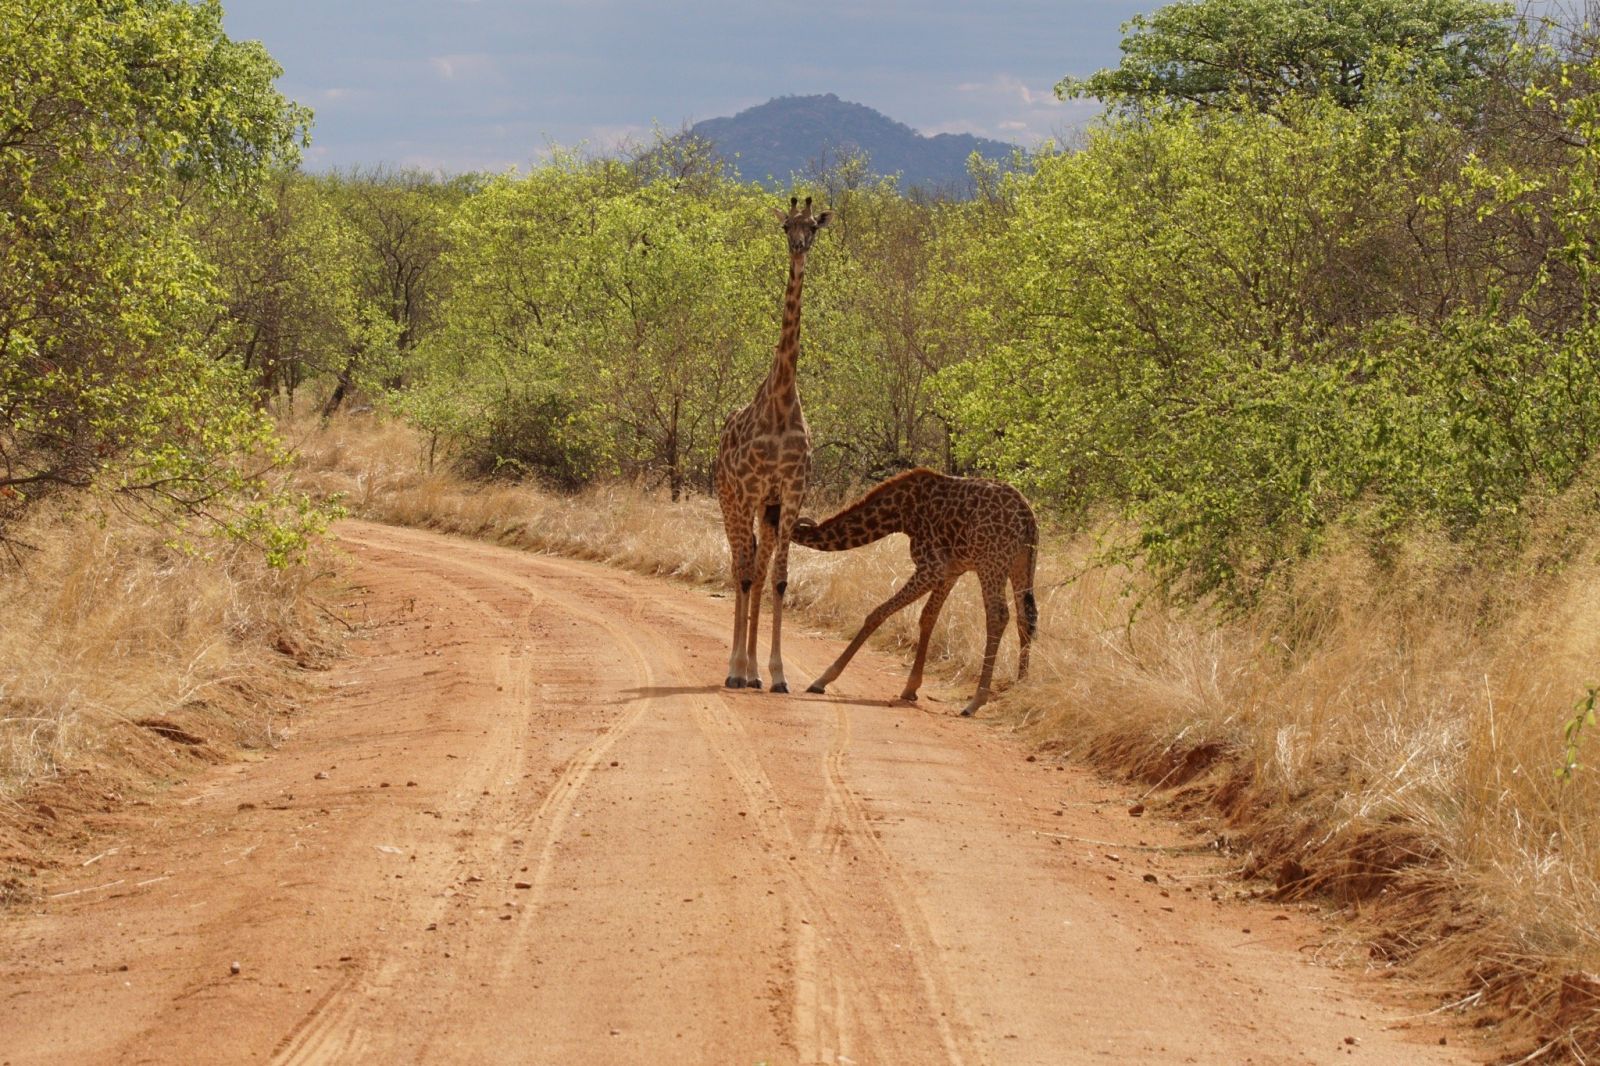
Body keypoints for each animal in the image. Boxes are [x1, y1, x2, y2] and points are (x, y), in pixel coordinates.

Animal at [792, 468, 1038, 716]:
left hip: (990, 561)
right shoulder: (949, 572)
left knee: (998, 615)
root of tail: (1027, 517)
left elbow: (878, 613)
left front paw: (822, 680)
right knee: (1025, 617)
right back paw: (1020, 685)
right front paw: (911, 688)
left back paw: (975, 701)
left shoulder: (931, 568)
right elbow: (928, 617)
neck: (901, 513)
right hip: (1021, 561)